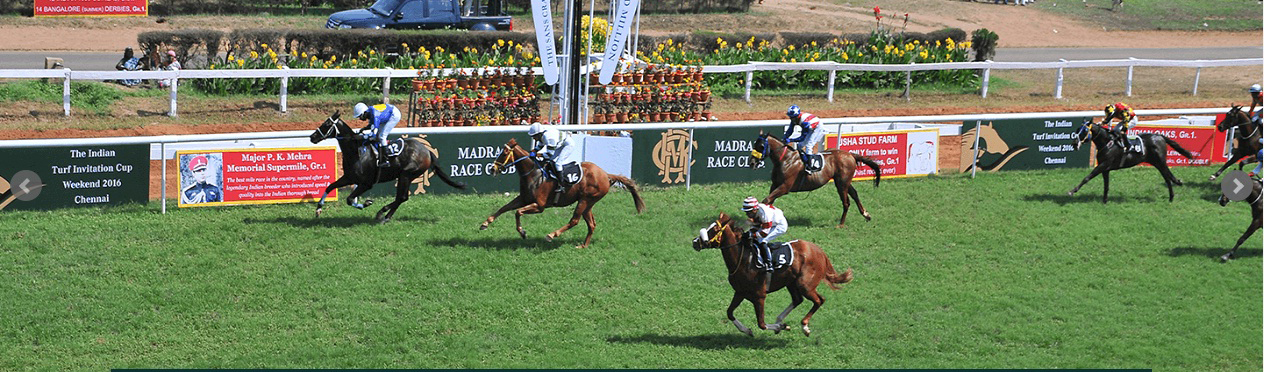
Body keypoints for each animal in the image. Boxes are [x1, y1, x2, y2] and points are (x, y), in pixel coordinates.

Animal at [308, 109, 467, 221]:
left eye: (327, 124)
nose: (312, 137)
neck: (358, 152)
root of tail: (427, 151)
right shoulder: (349, 178)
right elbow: (330, 187)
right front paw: (318, 209)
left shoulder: (366, 184)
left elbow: (349, 199)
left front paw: (366, 203)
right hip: (406, 177)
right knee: (402, 198)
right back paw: (385, 215)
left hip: (406, 175)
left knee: (401, 197)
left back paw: (382, 214)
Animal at [477, 137, 647, 248]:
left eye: (504, 153)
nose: (492, 169)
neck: (534, 174)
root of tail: (606, 174)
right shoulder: (523, 199)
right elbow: (504, 208)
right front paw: (485, 223)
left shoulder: (539, 205)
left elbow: (518, 212)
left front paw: (522, 232)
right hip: (588, 203)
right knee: (591, 224)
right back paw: (583, 245)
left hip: (585, 200)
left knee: (574, 221)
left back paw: (552, 235)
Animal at [692, 212, 859, 336]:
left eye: (713, 230)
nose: (695, 242)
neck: (743, 259)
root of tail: (820, 251)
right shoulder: (740, 292)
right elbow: (729, 313)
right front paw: (748, 330)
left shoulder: (759, 296)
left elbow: (761, 324)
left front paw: (781, 327)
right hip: (791, 283)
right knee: (798, 300)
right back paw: (780, 319)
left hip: (805, 285)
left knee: (819, 300)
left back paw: (804, 326)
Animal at [748, 132, 879, 227]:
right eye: (754, 145)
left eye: (761, 146)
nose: (752, 162)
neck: (786, 160)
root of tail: (851, 155)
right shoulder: (775, 184)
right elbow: (769, 201)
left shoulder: (785, 187)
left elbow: (766, 200)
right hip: (844, 181)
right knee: (855, 194)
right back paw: (866, 215)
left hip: (841, 183)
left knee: (846, 202)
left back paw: (841, 224)